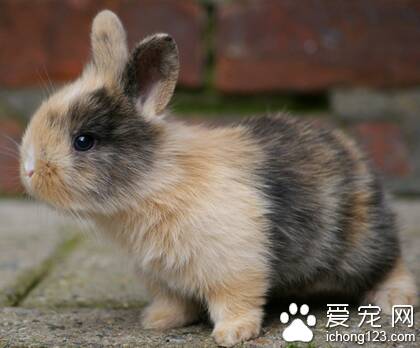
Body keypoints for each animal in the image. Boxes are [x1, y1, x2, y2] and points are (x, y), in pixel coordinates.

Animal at [20, 9, 416, 346]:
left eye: (83, 141)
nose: (28, 169)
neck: (155, 182)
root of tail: (352, 153)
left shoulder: (235, 265)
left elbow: (236, 301)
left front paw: (232, 335)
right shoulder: (162, 277)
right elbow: (173, 301)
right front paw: (157, 321)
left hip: (361, 244)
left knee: (391, 264)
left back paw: (395, 300)